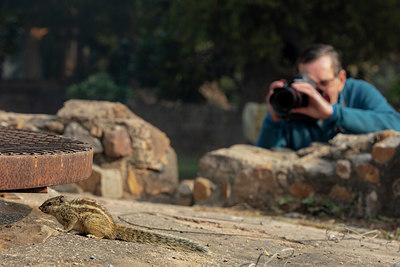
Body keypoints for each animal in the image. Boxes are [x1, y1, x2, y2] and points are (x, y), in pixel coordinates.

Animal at [39, 196, 211, 254]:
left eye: (49, 203)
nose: (39, 208)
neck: (62, 208)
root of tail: (113, 227)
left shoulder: (72, 217)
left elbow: (69, 225)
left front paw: (61, 229)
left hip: (91, 221)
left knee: (104, 236)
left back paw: (91, 235)